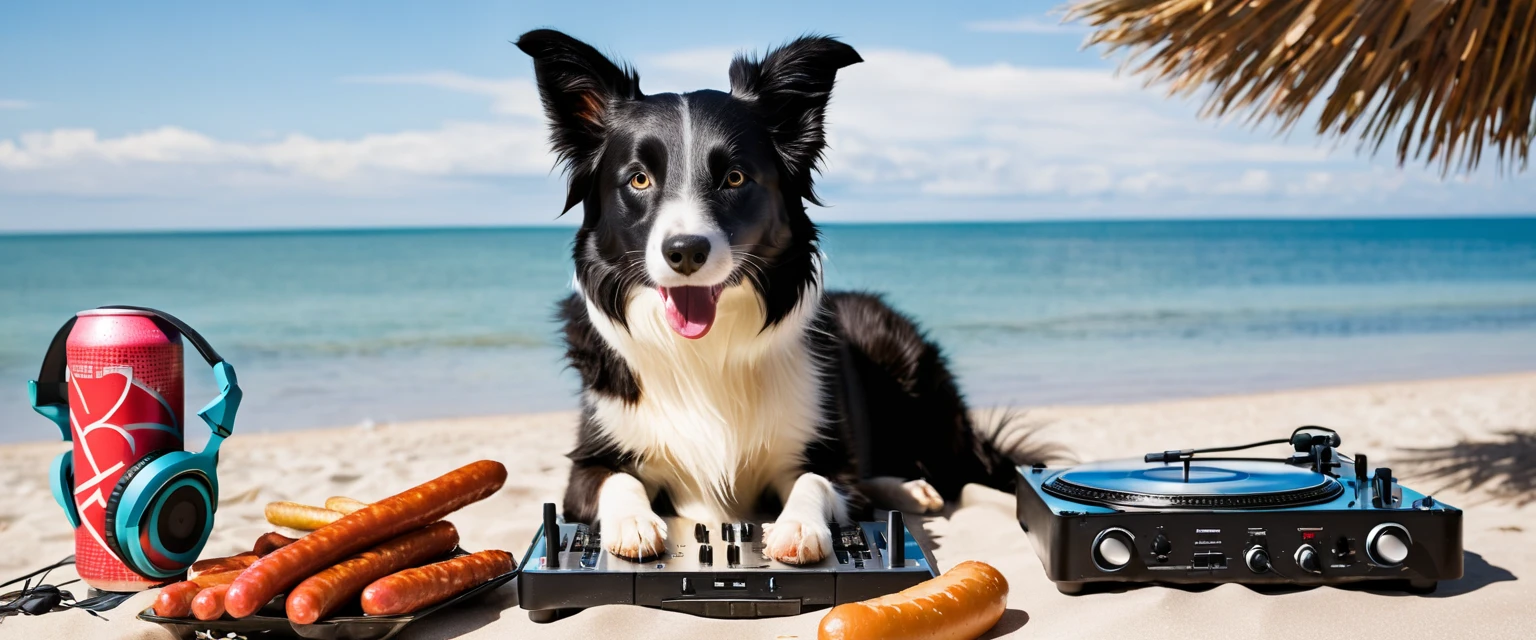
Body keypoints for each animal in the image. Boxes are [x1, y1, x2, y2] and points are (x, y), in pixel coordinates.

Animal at [516, 28, 1032, 564]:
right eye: (639, 178)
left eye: (735, 177)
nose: (685, 252)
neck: (705, 351)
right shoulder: (587, 462)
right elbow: (617, 479)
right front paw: (634, 522)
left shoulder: (827, 456)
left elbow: (818, 480)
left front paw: (798, 527)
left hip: (908, 368)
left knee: (950, 472)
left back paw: (913, 488)